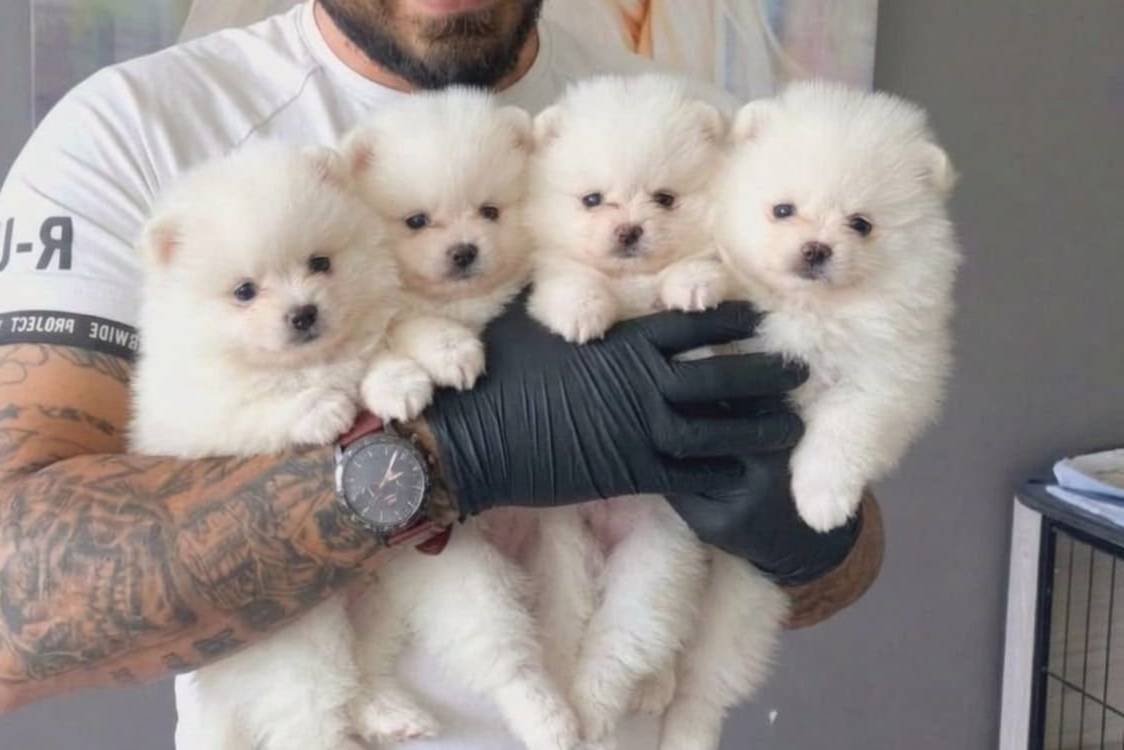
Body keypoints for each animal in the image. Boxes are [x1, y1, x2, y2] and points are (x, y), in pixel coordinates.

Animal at [129, 142, 402, 750]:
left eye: (320, 263)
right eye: (244, 292)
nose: (303, 313)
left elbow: (380, 352)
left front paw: (396, 381)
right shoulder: (203, 416)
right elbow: (263, 408)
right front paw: (321, 407)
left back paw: (391, 714)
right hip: (297, 644)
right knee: (315, 710)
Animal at [339, 89, 584, 750]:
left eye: (490, 211)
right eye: (417, 221)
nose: (464, 251)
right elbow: (393, 338)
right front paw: (424, 367)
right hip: (453, 576)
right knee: (501, 655)